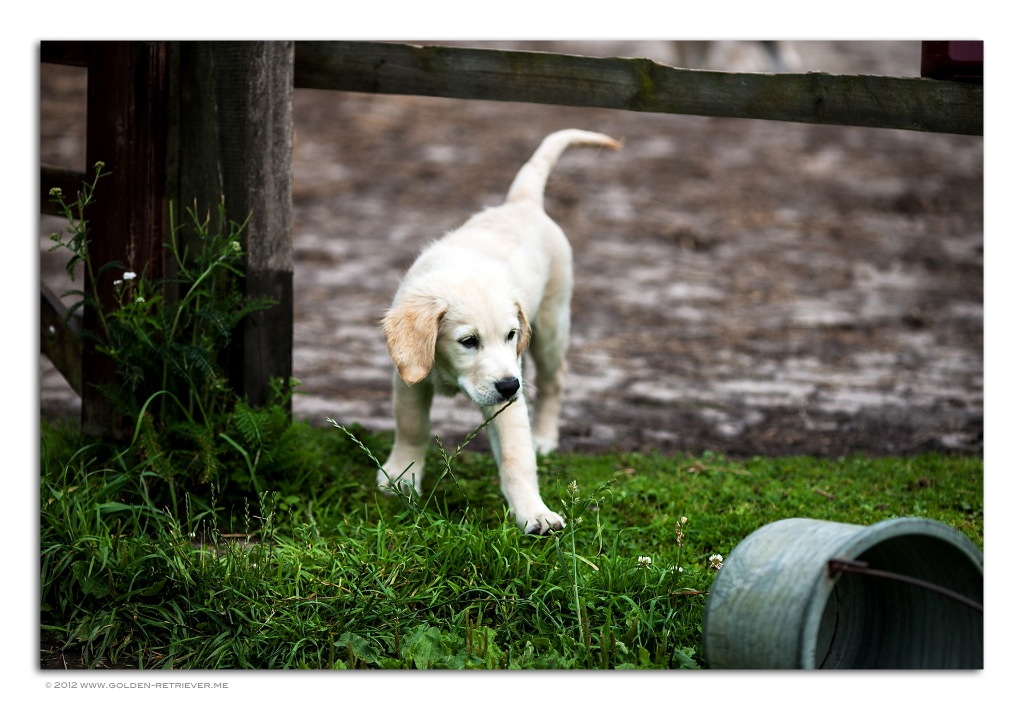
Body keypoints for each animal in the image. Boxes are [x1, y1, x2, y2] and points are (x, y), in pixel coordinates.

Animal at [379, 128, 621, 534]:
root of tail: (521, 203)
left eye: (510, 335)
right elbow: (412, 427)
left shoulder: (508, 395)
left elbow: (515, 457)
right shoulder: (410, 378)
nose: (509, 386)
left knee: (555, 379)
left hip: (552, 321)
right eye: (468, 342)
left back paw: (544, 437)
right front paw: (401, 476)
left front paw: (533, 513)